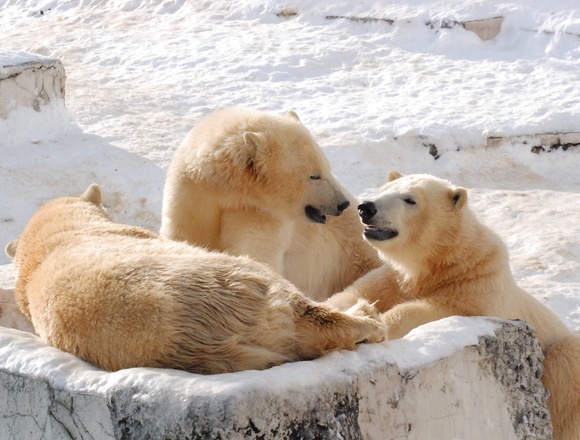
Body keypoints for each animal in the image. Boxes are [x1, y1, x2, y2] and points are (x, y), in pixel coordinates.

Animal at [161, 107, 382, 300]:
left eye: (328, 168)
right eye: (314, 175)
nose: (343, 203)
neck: (226, 189)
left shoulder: (261, 213)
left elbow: (257, 252)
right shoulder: (192, 195)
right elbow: (185, 234)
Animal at [326, 172, 580, 440]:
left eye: (410, 199)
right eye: (384, 190)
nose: (366, 207)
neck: (442, 263)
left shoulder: (477, 287)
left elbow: (431, 311)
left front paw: (377, 324)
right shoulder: (391, 279)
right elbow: (350, 295)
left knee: (565, 364)